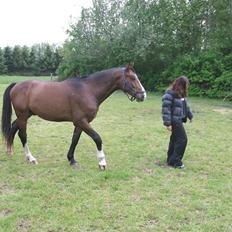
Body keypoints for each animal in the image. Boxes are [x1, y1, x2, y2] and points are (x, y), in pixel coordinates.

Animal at [1, 64, 146, 169]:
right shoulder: (82, 121)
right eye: (132, 78)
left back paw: (10, 151)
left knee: (13, 127)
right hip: (23, 116)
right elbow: (97, 138)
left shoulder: (80, 123)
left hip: (25, 115)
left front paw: (71, 160)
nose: (143, 95)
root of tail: (16, 85)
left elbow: (74, 140)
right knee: (22, 135)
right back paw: (31, 158)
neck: (88, 90)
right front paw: (102, 163)